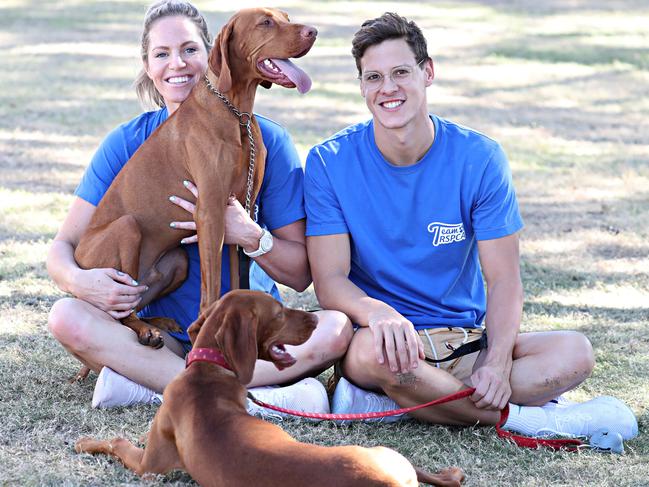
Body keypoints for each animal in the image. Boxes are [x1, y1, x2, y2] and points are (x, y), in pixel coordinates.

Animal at [76, 292, 464, 486]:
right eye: (278, 313)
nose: (316, 318)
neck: (208, 372)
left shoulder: (150, 467)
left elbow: (117, 441)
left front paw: (85, 442)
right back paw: (453, 473)